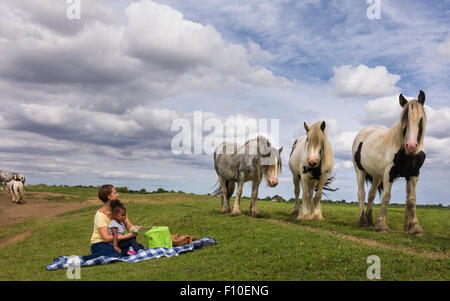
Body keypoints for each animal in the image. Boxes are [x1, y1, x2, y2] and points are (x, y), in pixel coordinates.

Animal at [354, 90, 428, 233]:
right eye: (405, 119)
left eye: (421, 119)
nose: (411, 146)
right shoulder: (389, 173)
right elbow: (386, 196)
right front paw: (382, 225)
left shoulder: (414, 174)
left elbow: (411, 200)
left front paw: (415, 228)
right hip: (360, 171)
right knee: (361, 193)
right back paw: (361, 220)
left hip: (376, 176)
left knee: (371, 194)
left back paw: (369, 221)